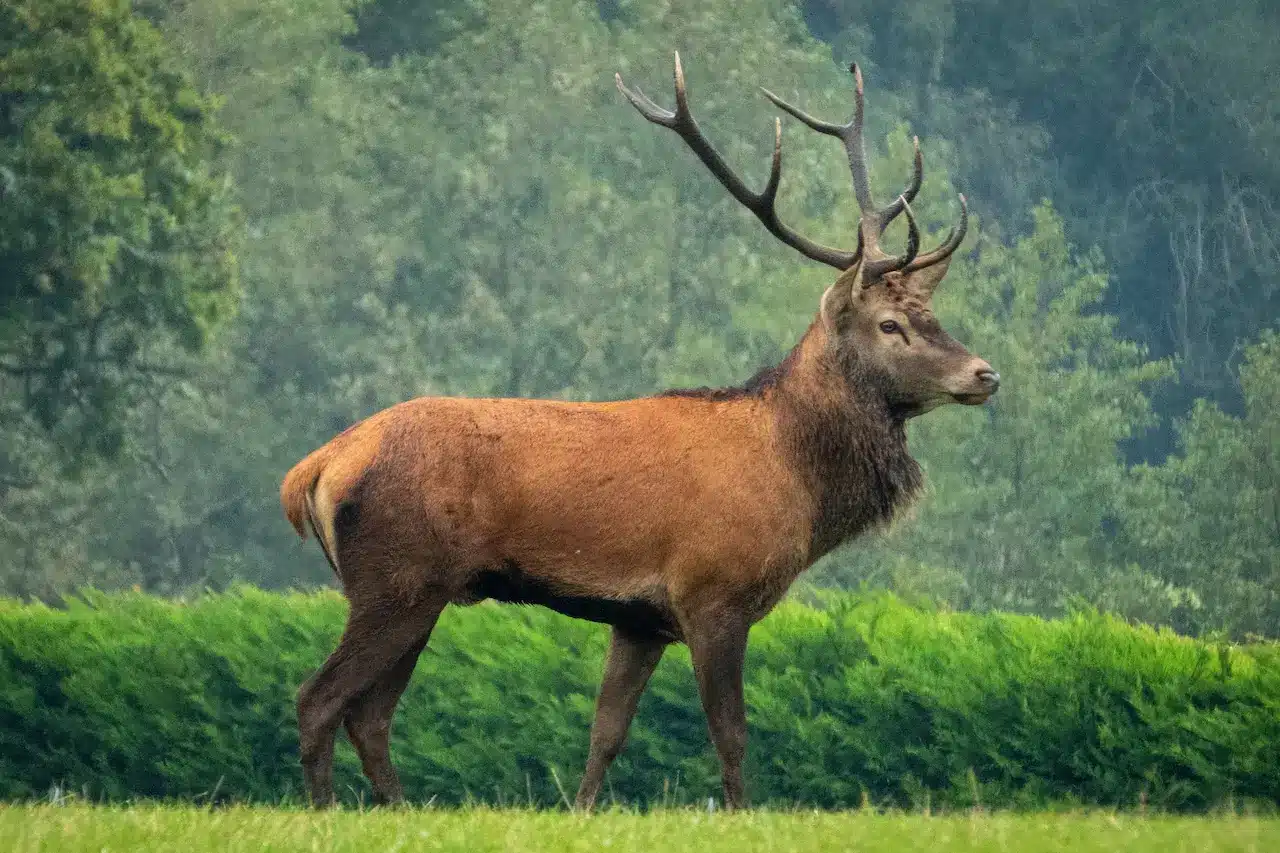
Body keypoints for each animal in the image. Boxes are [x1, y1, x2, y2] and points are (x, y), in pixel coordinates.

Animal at [279, 53, 999, 811]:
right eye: (890, 325)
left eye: (932, 314)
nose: (984, 373)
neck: (796, 480)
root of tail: (314, 469)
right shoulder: (713, 594)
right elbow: (731, 734)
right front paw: (742, 816)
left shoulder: (638, 617)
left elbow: (607, 731)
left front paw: (582, 810)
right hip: (396, 578)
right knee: (319, 698)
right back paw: (328, 810)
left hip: (419, 589)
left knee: (370, 714)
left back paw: (400, 808)